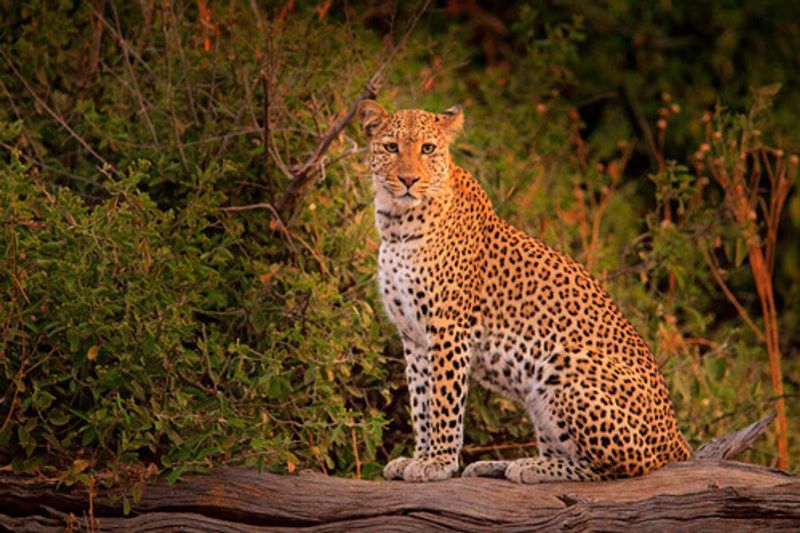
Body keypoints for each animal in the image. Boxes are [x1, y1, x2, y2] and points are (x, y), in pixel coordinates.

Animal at [358, 98, 692, 482]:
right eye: (391, 148)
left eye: (427, 149)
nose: (408, 180)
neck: (397, 225)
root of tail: (678, 440)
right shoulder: (413, 337)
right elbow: (420, 403)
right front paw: (418, 458)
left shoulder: (448, 331)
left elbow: (443, 402)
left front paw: (438, 462)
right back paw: (501, 464)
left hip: (565, 365)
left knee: (618, 467)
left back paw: (530, 467)